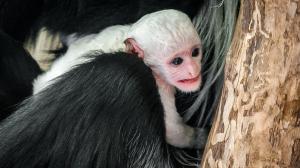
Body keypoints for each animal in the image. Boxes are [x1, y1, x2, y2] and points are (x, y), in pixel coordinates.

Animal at [32, 9, 206, 148]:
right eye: (177, 61)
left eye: (195, 53)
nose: (193, 70)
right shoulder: (156, 85)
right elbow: (172, 130)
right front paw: (200, 138)